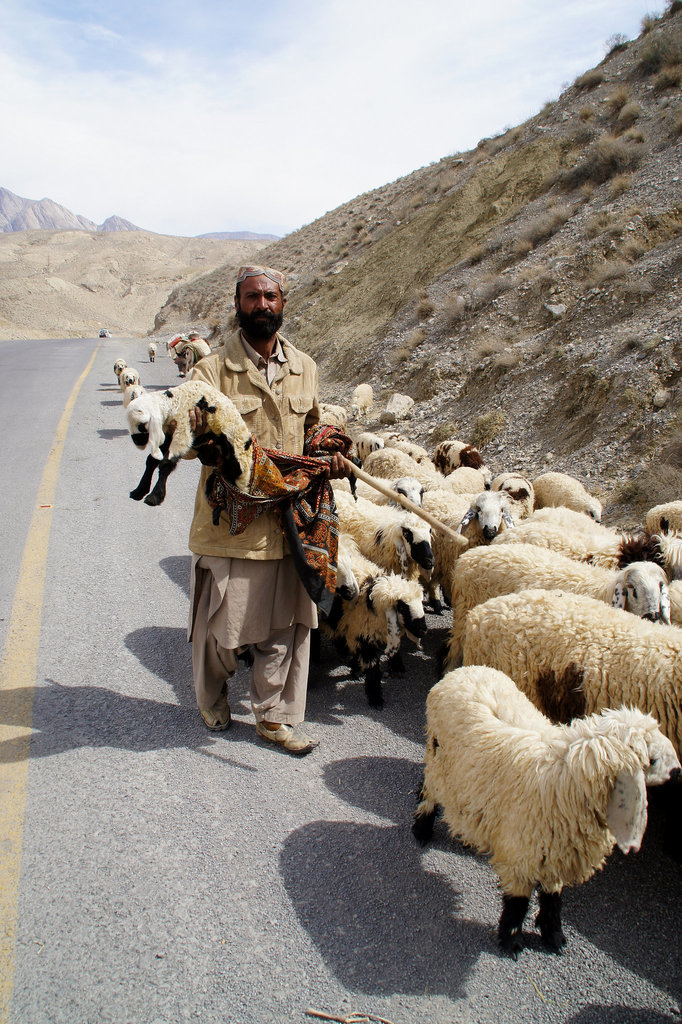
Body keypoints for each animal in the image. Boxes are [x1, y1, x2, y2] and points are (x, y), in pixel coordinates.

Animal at [411, 663, 675, 958]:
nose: (678, 770)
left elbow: (552, 898)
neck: (565, 779)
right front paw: (512, 941)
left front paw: (554, 935)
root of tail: (465, 671)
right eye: (652, 759)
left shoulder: (556, 851)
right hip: (437, 759)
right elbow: (518, 903)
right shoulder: (522, 854)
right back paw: (421, 828)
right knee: (428, 791)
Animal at [440, 544, 667, 671]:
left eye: (660, 586)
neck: (603, 589)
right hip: (465, 612)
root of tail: (468, 555)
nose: (653, 616)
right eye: (633, 590)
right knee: (456, 646)